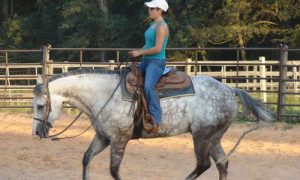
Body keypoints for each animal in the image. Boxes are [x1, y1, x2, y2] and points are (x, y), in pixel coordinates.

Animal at [31, 68, 274, 179]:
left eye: (41, 106)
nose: (36, 132)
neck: (104, 94)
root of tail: (230, 89)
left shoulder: (120, 139)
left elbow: (114, 170)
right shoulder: (103, 137)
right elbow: (86, 158)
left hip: (202, 135)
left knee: (203, 164)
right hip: (214, 136)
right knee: (222, 162)